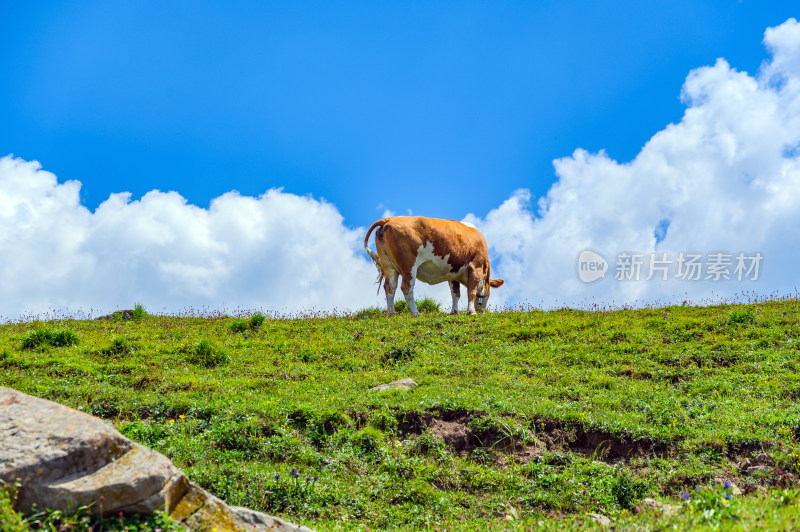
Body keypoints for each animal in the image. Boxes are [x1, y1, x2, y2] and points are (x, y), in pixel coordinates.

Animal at [364, 216, 504, 316]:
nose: (482, 312)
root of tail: (389, 219)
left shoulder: (453, 272)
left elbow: (455, 293)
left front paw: (454, 312)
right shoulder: (476, 266)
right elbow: (471, 290)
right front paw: (471, 312)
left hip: (389, 267)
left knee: (390, 287)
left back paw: (391, 314)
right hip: (408, 265)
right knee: (406, 287)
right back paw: (416, 313)